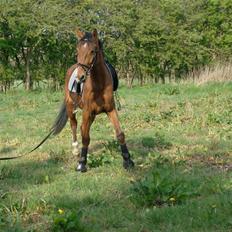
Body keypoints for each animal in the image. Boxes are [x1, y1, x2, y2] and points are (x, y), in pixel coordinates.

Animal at [50, 29, 135, 172]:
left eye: (92, 51)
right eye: (77, 51)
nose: (80, 77)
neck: (99, 84)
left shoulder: (110, 110)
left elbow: (120, 134)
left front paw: (127, 160)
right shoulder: (87, 111)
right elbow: (85, 137)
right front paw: (82, 163)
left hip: (92, 114)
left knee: (83, 127)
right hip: (71, 107)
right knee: (74, 126)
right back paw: (76, 150)